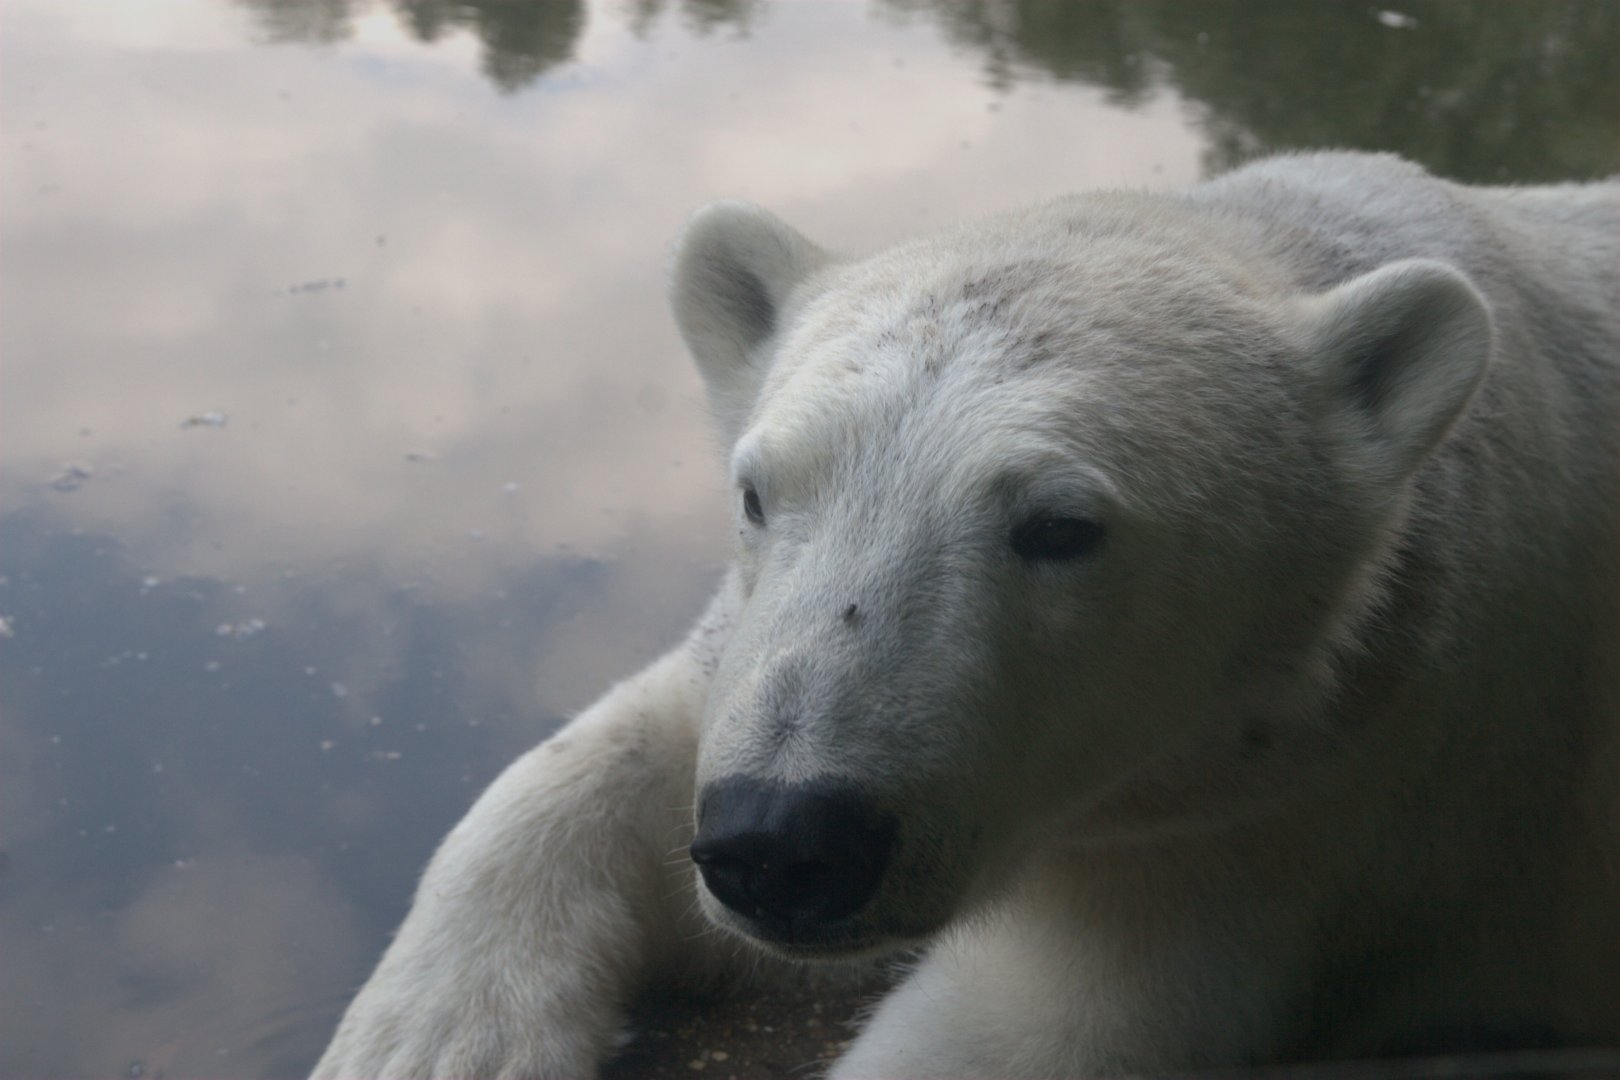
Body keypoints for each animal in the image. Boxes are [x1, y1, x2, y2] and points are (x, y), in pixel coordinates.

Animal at [313, 152, 1620, 1079]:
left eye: (1060, 527)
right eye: (758, 491)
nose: (784, 839)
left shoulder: (1304, 817)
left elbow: (1029, 1029)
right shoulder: (756, 645)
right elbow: (633, 740)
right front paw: (430, 1044)